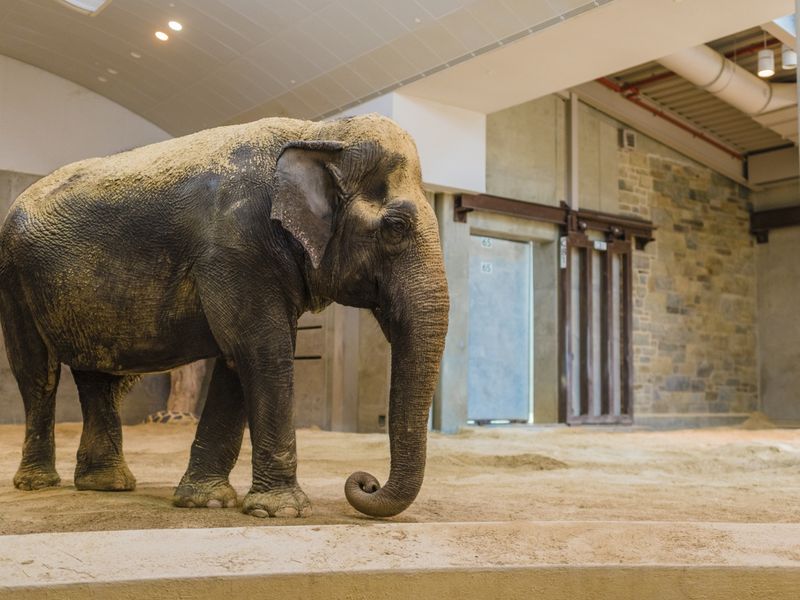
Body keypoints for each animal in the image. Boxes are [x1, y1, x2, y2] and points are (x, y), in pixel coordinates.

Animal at [0, 115, 450, 516]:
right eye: (395, 228)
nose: (365, 482)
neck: (319, 132)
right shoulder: (238, 248)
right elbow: (262, 352)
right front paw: (281, 511)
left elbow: (238, 361)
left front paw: (207, 502)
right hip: (14, 280)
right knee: (39, 376)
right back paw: (39, 484)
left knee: (101, 380)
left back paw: (106, 485)